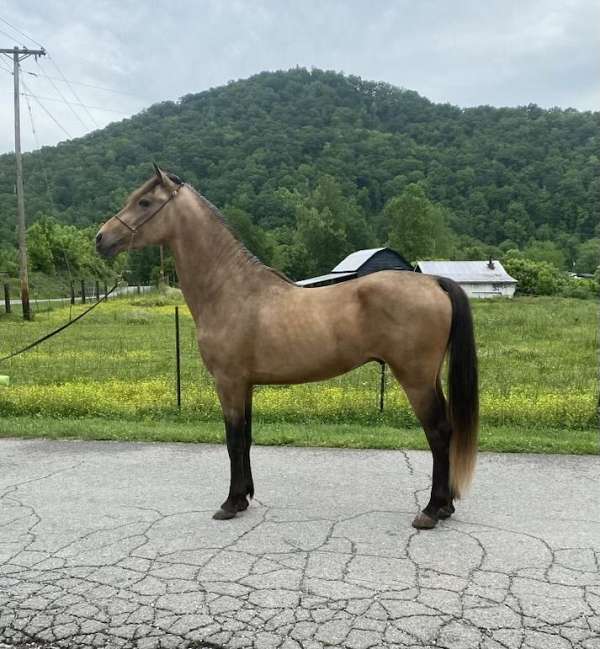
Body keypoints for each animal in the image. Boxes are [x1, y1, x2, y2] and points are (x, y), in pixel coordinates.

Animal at [97, 165, 478, 528]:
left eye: (144, 202)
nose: (101, 238)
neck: (230, 291)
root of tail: (434, 282)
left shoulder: (228, 382)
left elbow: (233, 440)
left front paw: (230, 503)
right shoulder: (245, 385)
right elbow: (246, 438)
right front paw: (244, 497)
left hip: (415, 379)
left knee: (438, 433)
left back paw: (432, 511)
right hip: (428, 378)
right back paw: (445, 507)